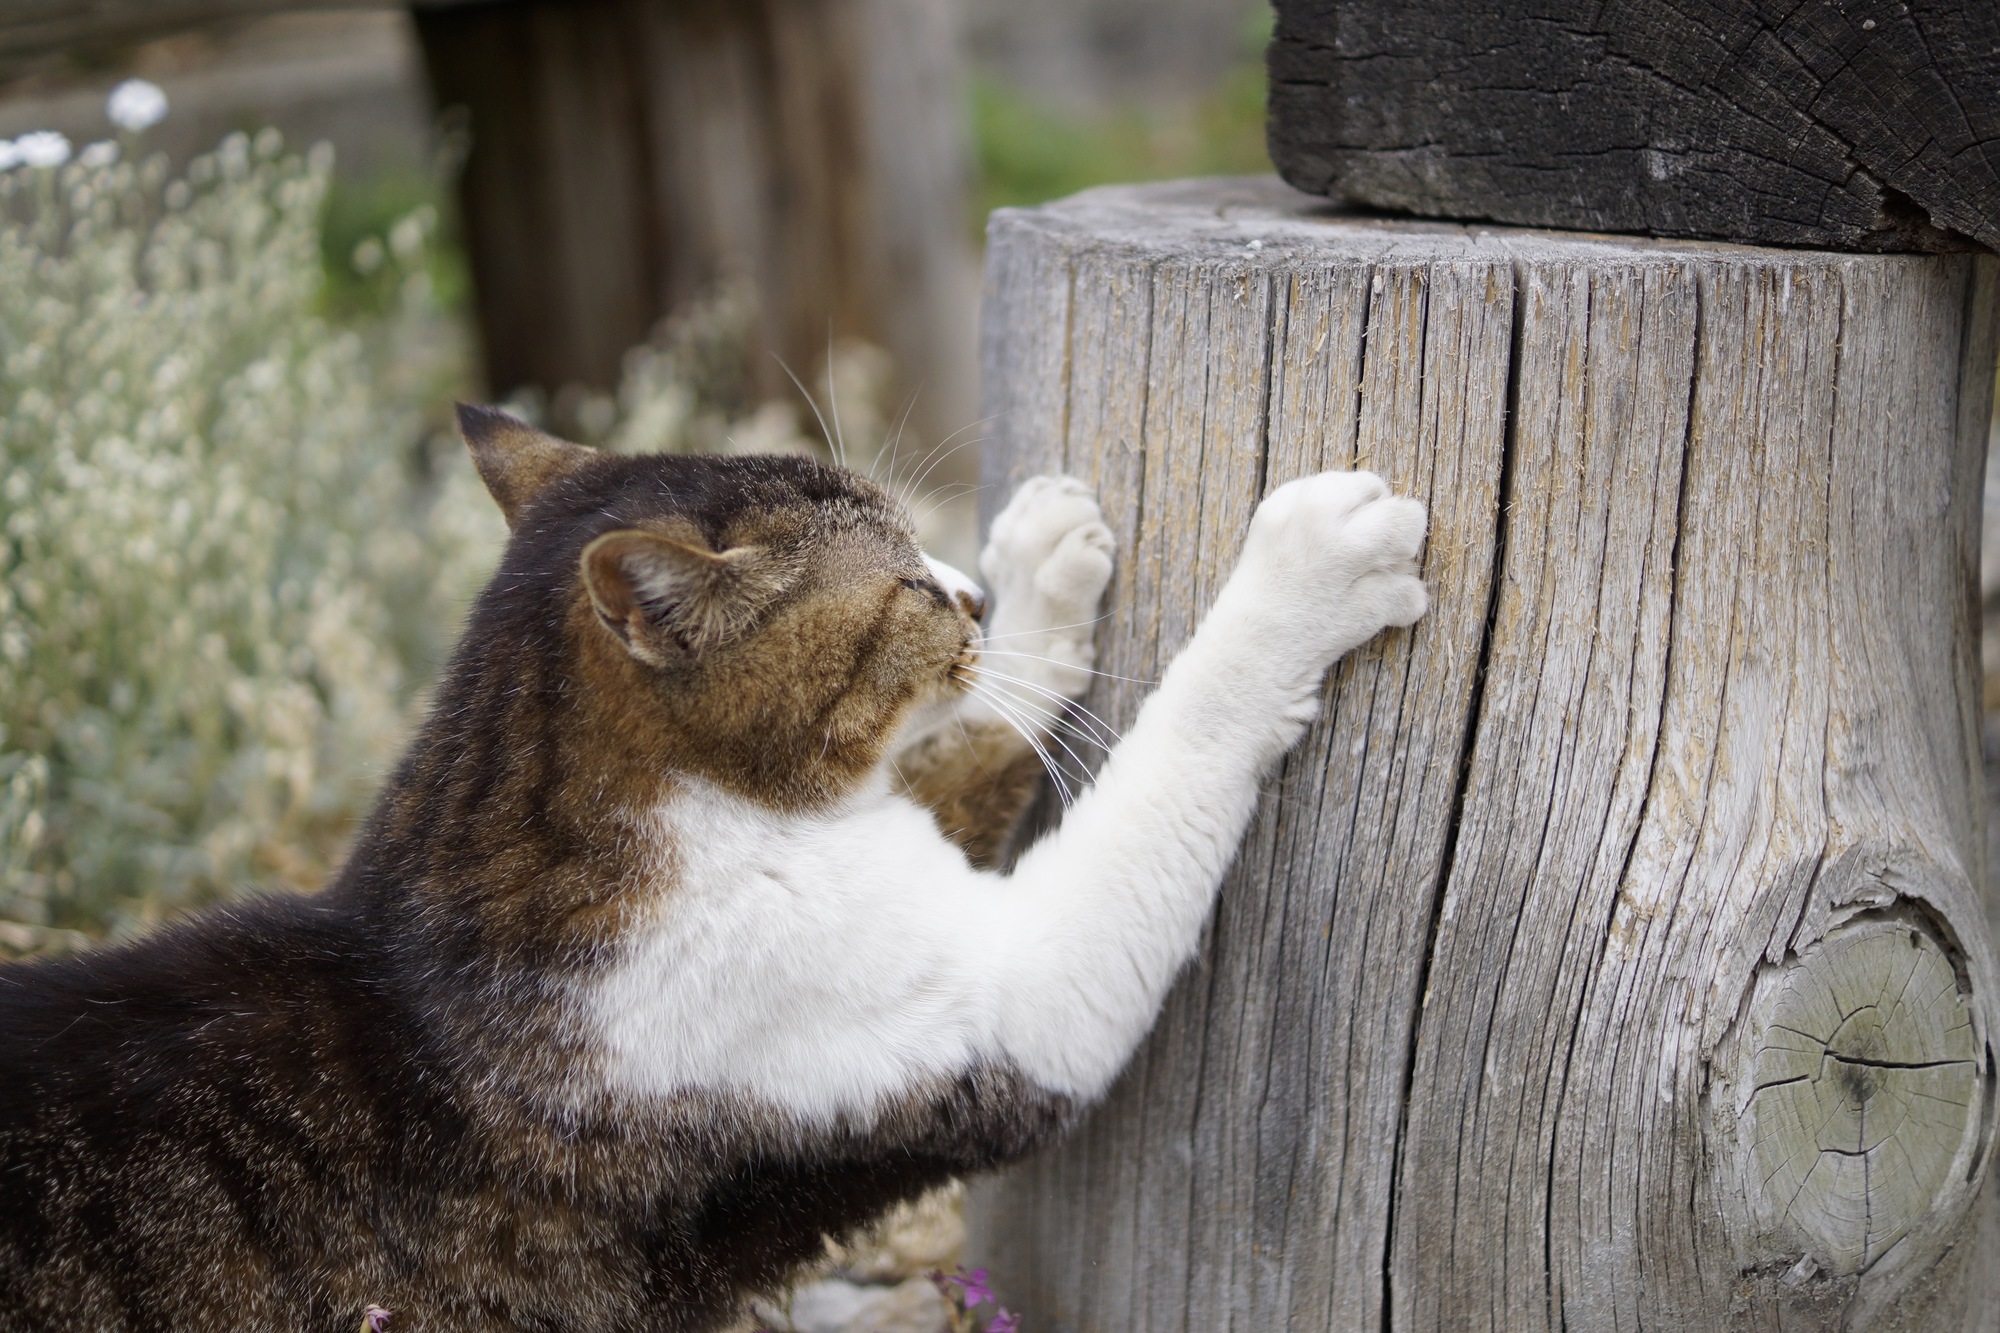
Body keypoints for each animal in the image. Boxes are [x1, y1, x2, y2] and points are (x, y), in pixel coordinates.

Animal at [7, 408, 1432, 1328]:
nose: (965, 590)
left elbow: (968, 744)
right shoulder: (1002, 1000)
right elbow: (1161, 761)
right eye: (906, 590)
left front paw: (1040, 567)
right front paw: (1307, 567)